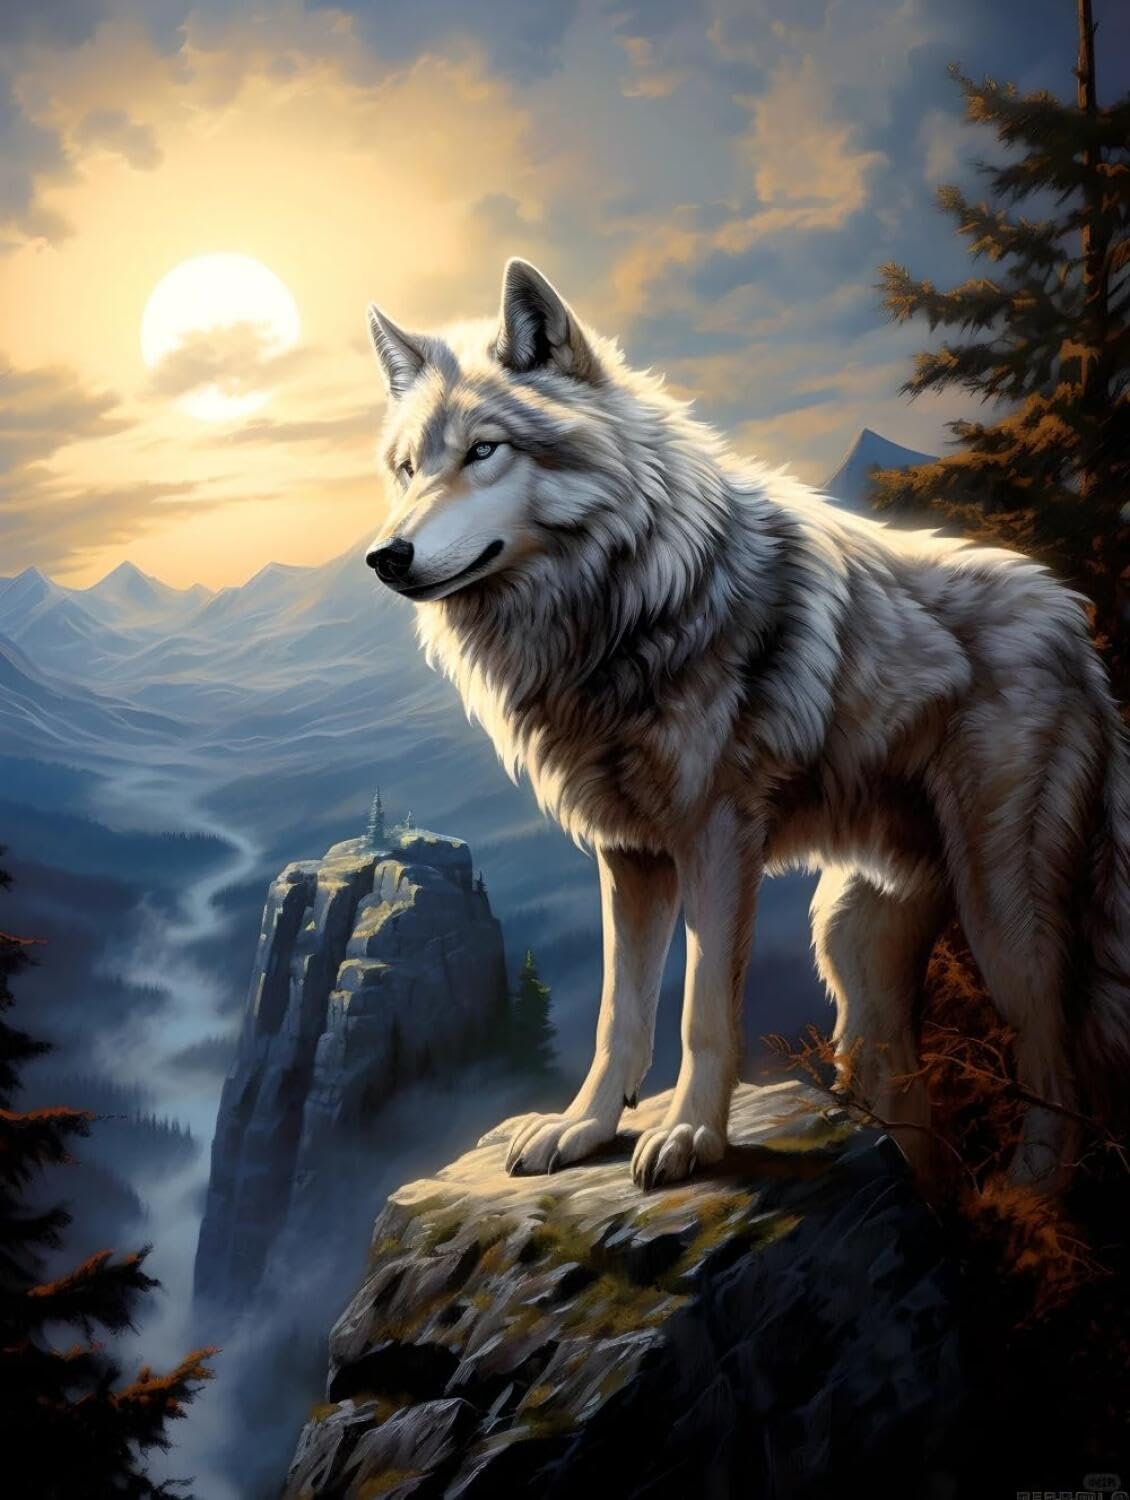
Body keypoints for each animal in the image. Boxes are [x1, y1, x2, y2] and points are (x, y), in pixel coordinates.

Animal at [363, 258, 1130, 1191]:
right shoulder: (629, 854)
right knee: (902, 1090)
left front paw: (692, 1136)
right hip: (853, 944)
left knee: (1062, 1062)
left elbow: (702, 1012)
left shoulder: (717, 839)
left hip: (1007, 920)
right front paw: (583, 1129)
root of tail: (1075, 622)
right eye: (408, 469)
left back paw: (1029, 1196)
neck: (618, 611)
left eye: (483, 451)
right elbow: (619, 1015)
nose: (385, 557)